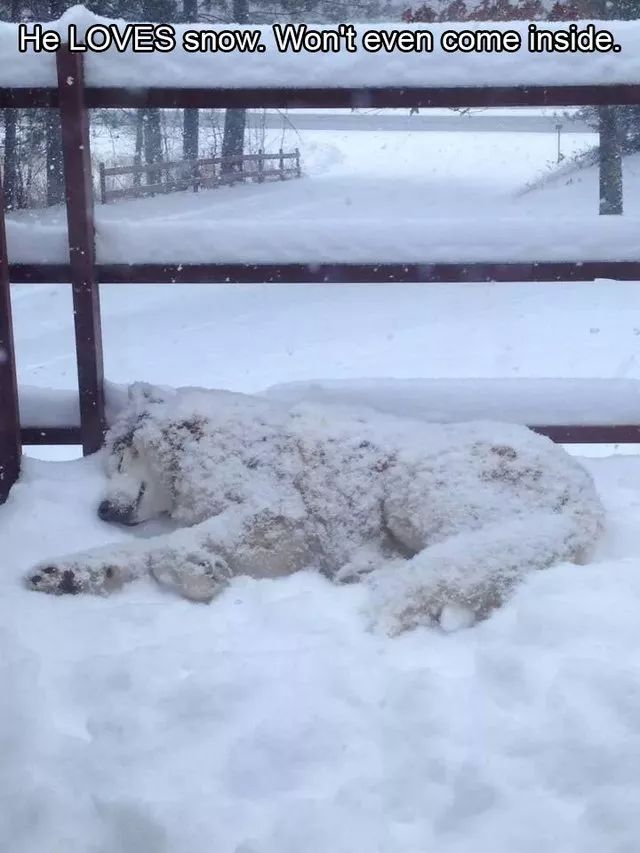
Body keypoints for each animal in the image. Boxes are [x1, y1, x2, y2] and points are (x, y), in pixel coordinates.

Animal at [25, 386, 604, 632]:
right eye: (107, 463)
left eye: (120, 455)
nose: (102, 509)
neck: (197, 448)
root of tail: (584, 498)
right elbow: (135, 551)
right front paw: (69, 572)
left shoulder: (280, 516)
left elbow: (170, 547)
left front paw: (198, 572)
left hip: (415, 487)